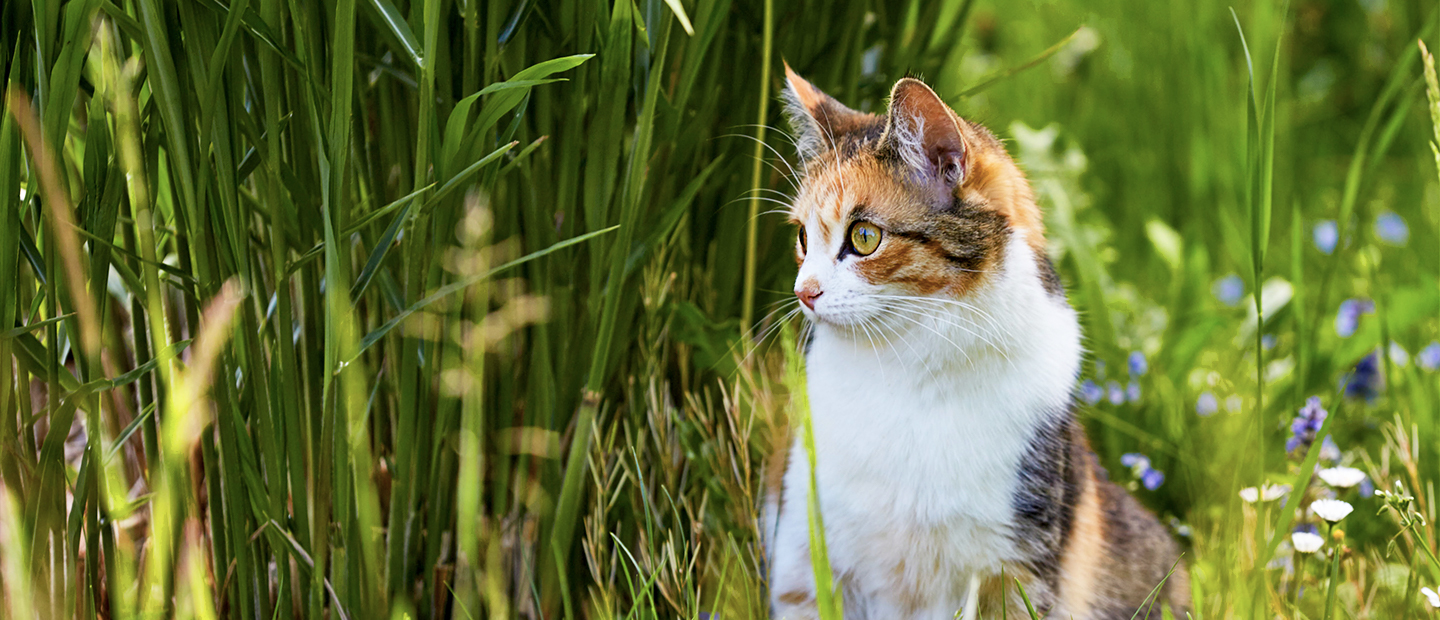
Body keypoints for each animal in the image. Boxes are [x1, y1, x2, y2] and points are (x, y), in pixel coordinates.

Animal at [766, 65, 1192, 618]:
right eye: (802, 238)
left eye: (863, 237)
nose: (804, 292)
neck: (903, 371)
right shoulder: (804, 559)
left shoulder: (1014, 563)